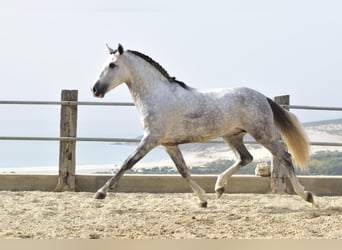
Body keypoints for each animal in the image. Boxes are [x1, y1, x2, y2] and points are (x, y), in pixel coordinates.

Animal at [91, 44, 318, 208]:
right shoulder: (169, 144)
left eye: (112, 65)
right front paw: (202, 199)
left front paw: (100, 193)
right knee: (245, 158)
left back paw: (307, 195)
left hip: (263, 134)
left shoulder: (151, 139)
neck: (158, 96)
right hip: (232, 135)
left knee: (285, 157)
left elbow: (127, 163)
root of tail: (262, 97)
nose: (95, 89)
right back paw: (219, 188)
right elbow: (183, 171)